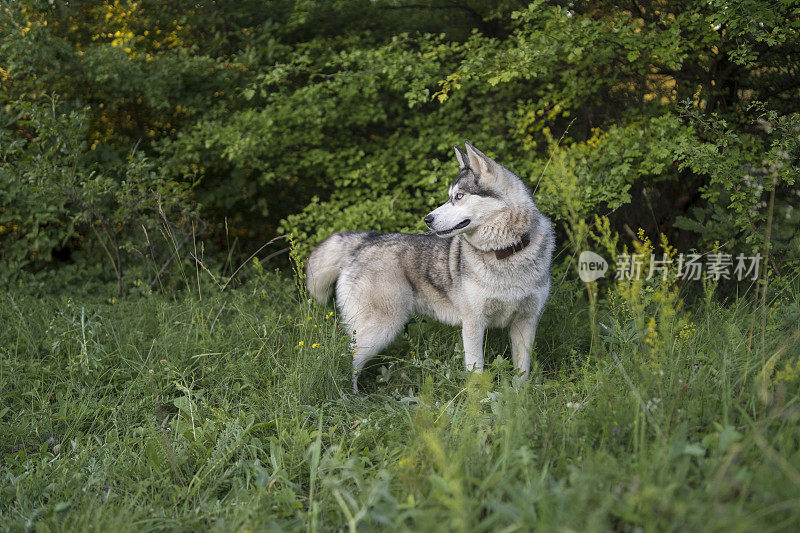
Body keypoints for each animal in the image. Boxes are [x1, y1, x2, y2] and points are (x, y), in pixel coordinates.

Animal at [304, 141, 552, 390]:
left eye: (459, 196)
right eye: (450, 196)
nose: (427, 219)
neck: (506, 252)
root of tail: (365, 239)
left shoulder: (526, 323)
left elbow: (522, 372)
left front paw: (518, 396)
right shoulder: (473, 324)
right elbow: (476, 373)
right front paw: (476, 397)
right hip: (380, 329)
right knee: (349, 359)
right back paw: (352, 396)